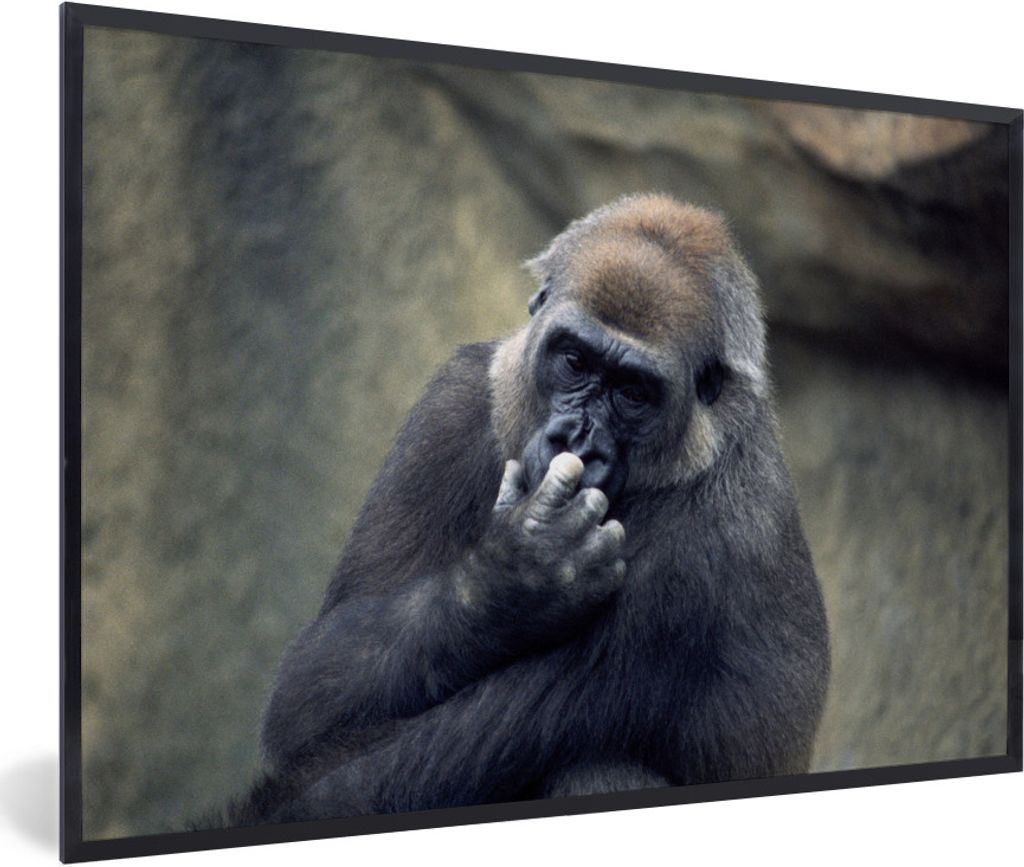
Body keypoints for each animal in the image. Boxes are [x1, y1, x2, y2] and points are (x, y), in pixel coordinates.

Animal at [224, 192, 830, 826]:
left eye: (633, 393)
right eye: (575, 361)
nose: (576, 442)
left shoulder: (695, 555)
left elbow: (421, 757)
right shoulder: (458, 396)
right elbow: (310, 687)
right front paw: (516, 578)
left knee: (594, 769)